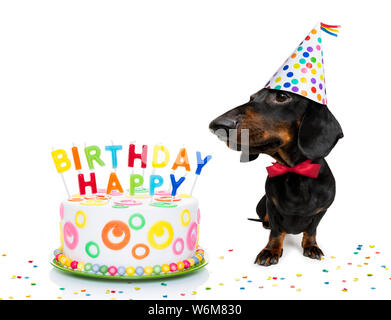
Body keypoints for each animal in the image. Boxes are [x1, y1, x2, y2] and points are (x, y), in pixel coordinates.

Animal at [211, 89, 344, 266]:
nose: (217, 126)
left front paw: (311, 246)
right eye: (251, 98)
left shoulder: (322, 210)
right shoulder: (271, 205)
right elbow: (276, 231)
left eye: (281, 97)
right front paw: (271, 250)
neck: (295, 174)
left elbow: (311, 230)